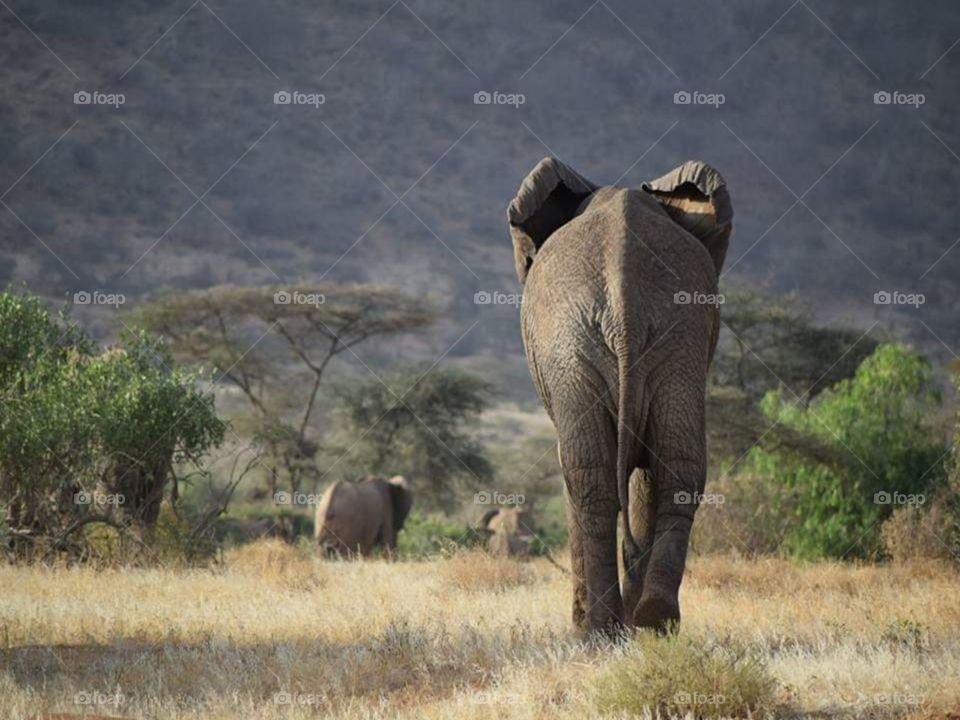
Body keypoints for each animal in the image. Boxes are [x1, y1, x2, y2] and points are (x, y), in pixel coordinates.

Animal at [508, 157, 732, 636]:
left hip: (572, 345)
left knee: (588, 477)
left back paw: (598, 632)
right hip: (673, 341)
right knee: (679, 469)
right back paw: (653, 620)